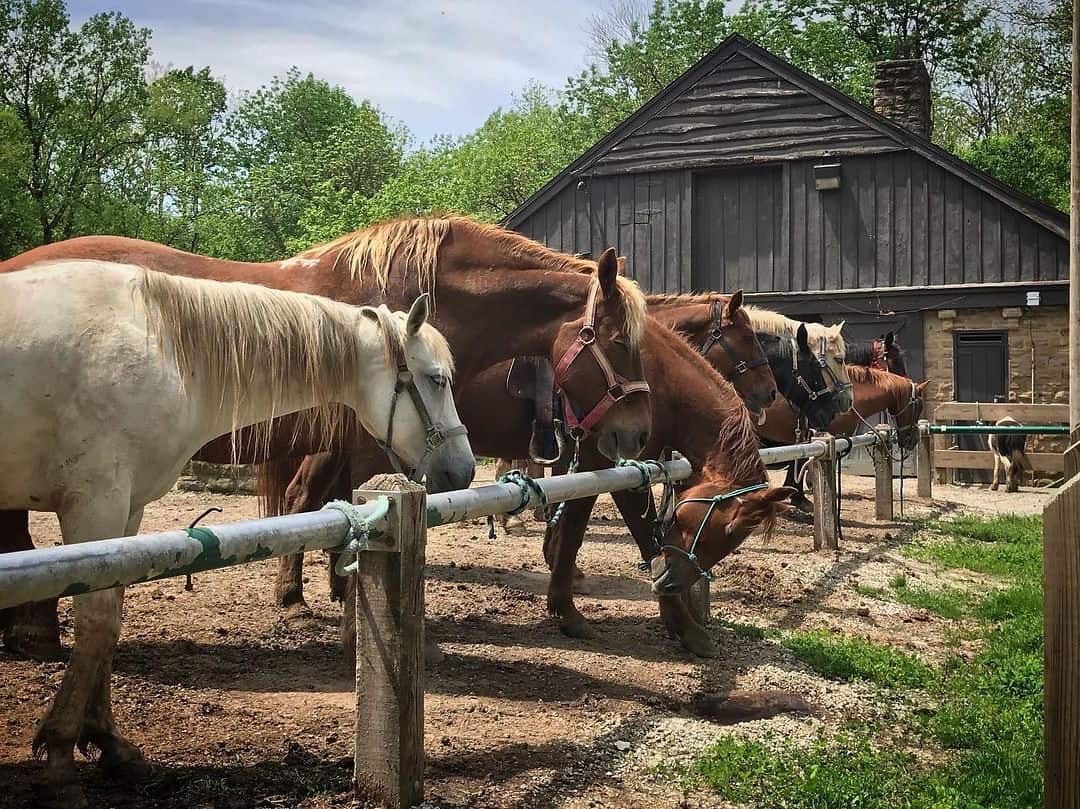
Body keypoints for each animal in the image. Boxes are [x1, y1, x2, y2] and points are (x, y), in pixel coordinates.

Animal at [0, 260, 473, 807]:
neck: (160, 343)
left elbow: (110, 619)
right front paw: (60, 755)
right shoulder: (95, 504)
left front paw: (108, 742)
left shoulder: (128, 513)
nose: (464, 469)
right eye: (436, 379)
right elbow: (95, 622)